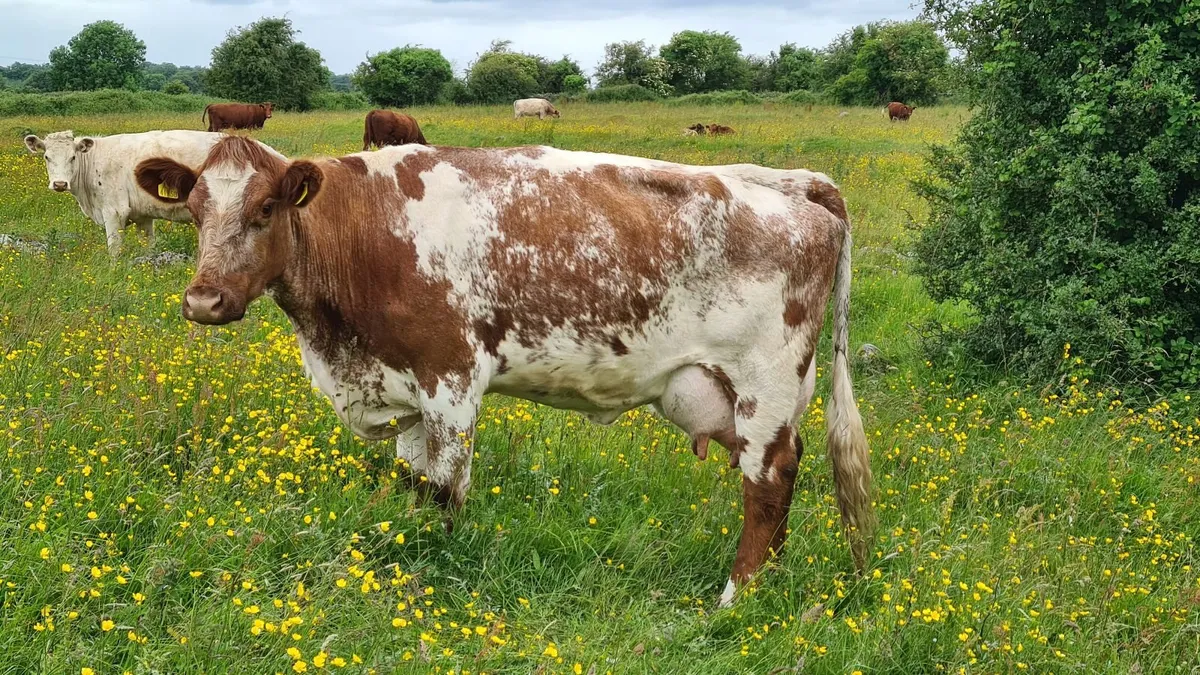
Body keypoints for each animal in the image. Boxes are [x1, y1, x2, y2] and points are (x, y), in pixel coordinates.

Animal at [24, 130, 228, 256]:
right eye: (46, 157)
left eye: (73, 157)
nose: (59, 184)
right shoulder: (143, 216)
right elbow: (148, 246)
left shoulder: (114, 212)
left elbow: (114, 250)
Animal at [133, 136, 874, 608]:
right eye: (193, 211)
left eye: (265, 209)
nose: (203, 301)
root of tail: (794, 182)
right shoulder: (404, 390)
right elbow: (415, 486)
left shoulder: (452, 377)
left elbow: (447, 490)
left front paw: (439, 567)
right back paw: (766, 584)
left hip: (765, 382)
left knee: (768, 484)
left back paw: (734, 597)